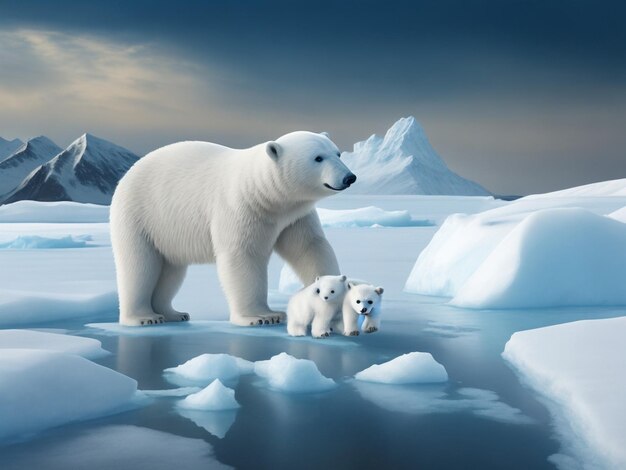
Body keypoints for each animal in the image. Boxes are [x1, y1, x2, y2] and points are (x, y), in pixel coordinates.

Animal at [109, 130, 354, 324]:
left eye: (337, 153)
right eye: (318, 158)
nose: (349, 177)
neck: (264, 192)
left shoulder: (293, 217)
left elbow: (310, 248)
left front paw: (334, 294)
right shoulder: (240, 207)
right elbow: (243, 256)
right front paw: (262, 316)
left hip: (167, 232)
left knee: (170, 271)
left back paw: (173, 313)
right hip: (140, 215)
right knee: (139, 265)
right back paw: (143, 317)